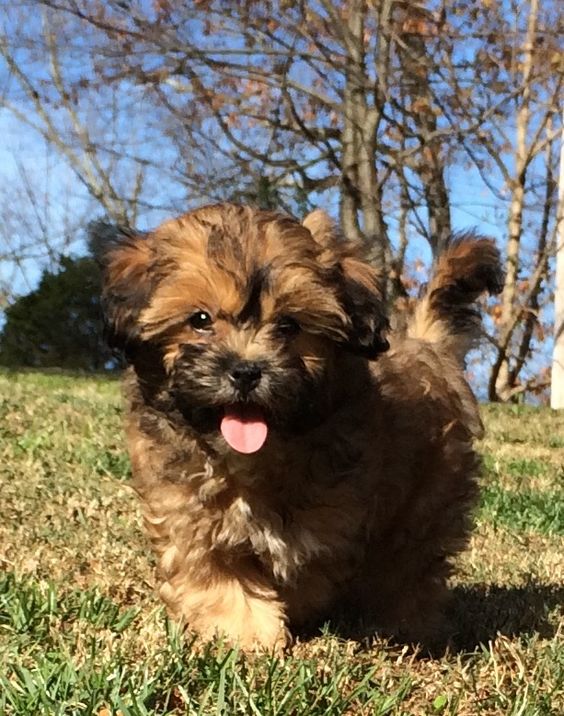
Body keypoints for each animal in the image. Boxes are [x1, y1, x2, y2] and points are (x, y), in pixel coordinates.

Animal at [98, 204, 502, 652]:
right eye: (199, 319)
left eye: (289, 325)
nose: (245, 371)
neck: (253, 457)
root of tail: (427, 346)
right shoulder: (187, 517)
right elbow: (218, 578)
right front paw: (248, 634)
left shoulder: (333, 519)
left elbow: (311, 565)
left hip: (427, 501)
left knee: (409, 567)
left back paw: (404, 624)